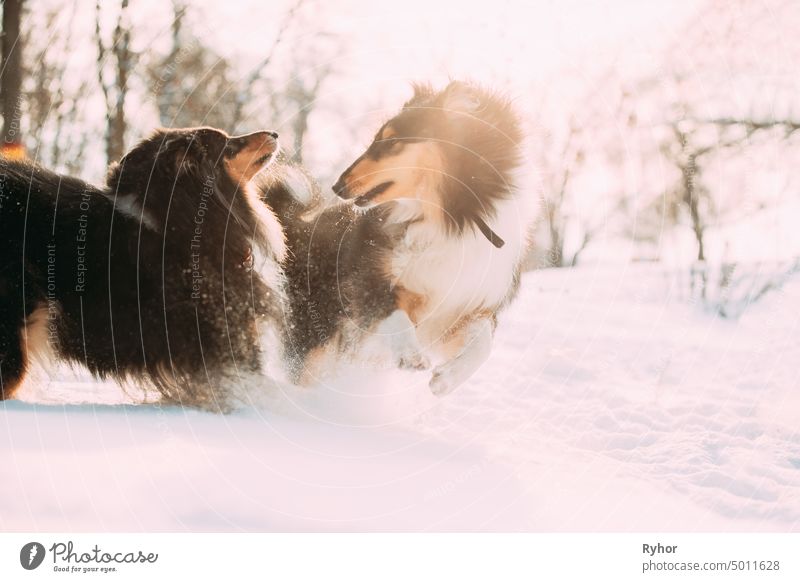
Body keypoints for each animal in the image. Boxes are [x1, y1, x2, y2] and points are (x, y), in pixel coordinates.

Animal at [262, 80, 536, 394]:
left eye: (392, 142)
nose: (337, 185)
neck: (447, 219)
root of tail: (301, 224)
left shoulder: (466, 303)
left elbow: (483, 344)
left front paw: (447, 378)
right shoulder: (368, 278)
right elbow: (391, 312)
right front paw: (410, 354)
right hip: (317, 329)